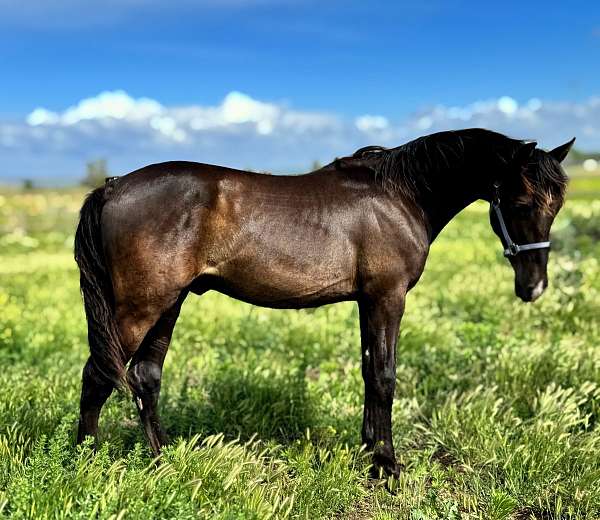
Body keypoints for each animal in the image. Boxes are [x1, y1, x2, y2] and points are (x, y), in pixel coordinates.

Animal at [74, 128, 572, 478]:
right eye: (521, 202)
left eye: (556, 206)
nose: (534, 287)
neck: (400, 194)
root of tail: (112, 187)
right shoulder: (387, 297)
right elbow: (385, 375)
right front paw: (387, 465)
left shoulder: (368, 301)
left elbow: (370, 371)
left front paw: (370, 451)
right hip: (141, 307)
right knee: (99, 374)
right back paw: (85, 461)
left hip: (168, 303)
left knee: (144, 377)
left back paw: (162, 461)